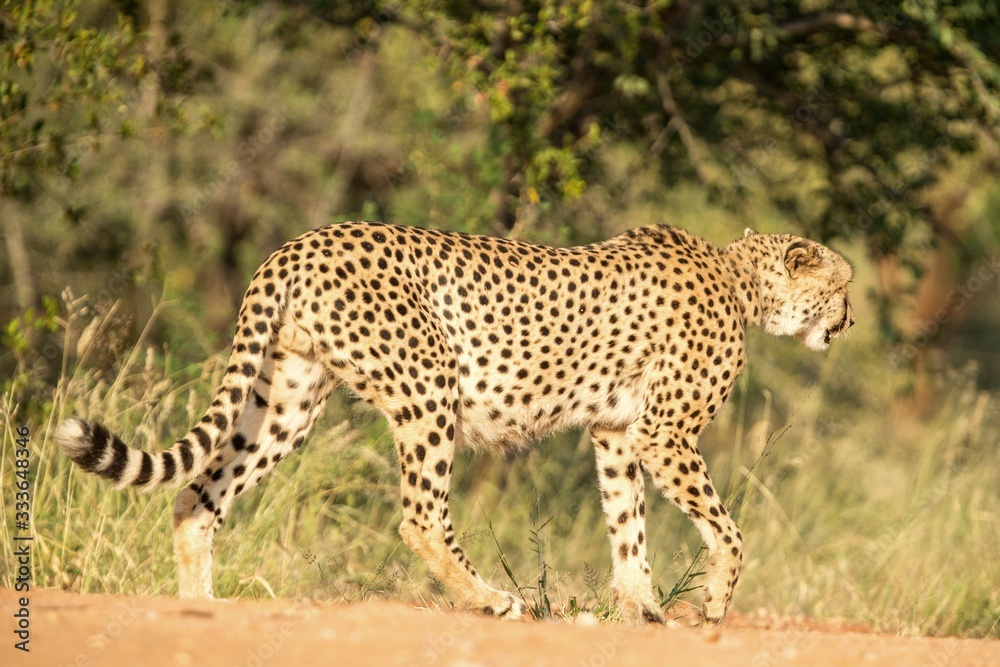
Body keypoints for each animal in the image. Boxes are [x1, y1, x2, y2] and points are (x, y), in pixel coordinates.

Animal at [57, 221, 854, 625]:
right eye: (843, 286)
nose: (847, 322)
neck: (742, 282)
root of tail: (301, 240)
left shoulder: (617, 432)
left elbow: (628, 527)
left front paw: (644, 609)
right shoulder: (663, 433)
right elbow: (728, 530)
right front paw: (712, 601)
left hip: (285, 400)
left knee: (197, 494)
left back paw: (201, 606)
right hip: (429, 384)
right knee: (419, 516)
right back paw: (491, 598)